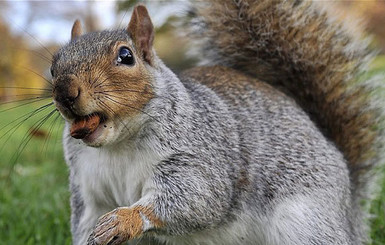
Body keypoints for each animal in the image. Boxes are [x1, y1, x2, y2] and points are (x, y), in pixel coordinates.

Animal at [49, 0, 382, 245]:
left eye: (126, 56)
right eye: (54, 66)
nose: (65, 91)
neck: (116, 145)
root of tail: (349, 210)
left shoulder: (198, 152)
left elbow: (199, 197)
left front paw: (124, 219)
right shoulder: (88, 190)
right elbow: (87, 222)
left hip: (305, 220)